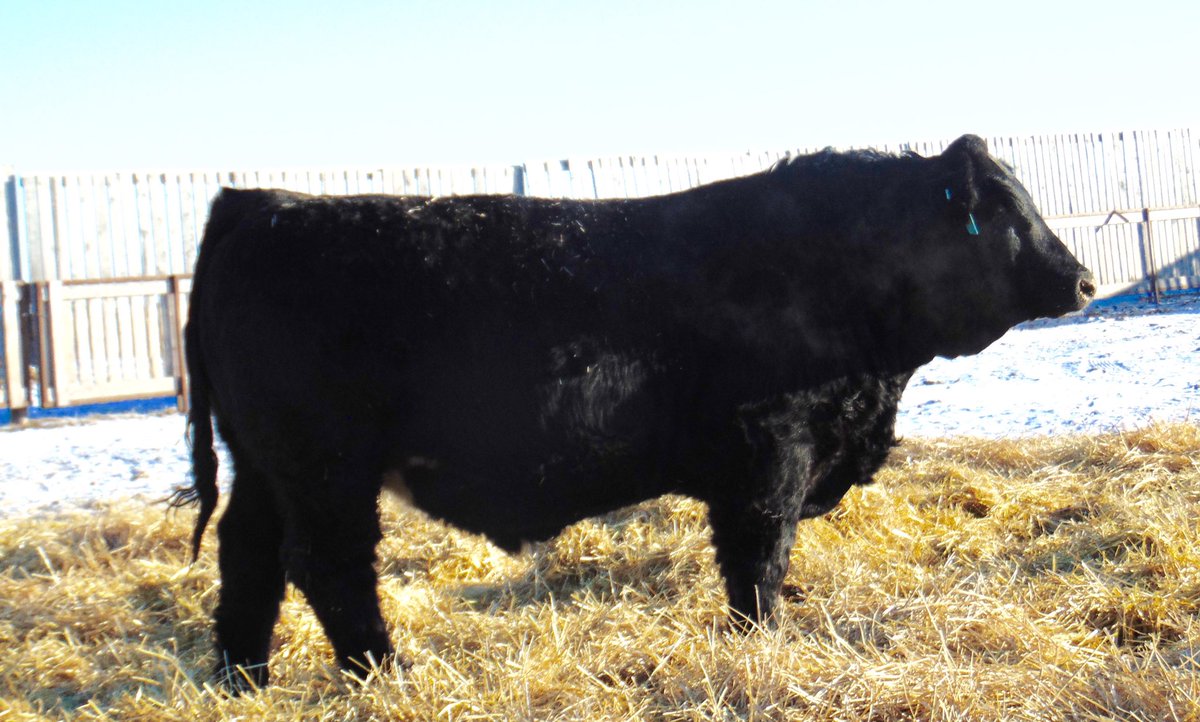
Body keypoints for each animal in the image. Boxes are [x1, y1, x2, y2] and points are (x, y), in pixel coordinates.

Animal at [173, 135, 1095, 689]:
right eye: (1002, 213)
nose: (1084, 280)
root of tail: (258, 202)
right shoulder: (771, 453)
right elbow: (758, 560)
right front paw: (762, 642)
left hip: (264, 465)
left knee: (248, 555)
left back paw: (244, 676)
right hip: (323, 468)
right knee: (328, 565)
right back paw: (382, 673)